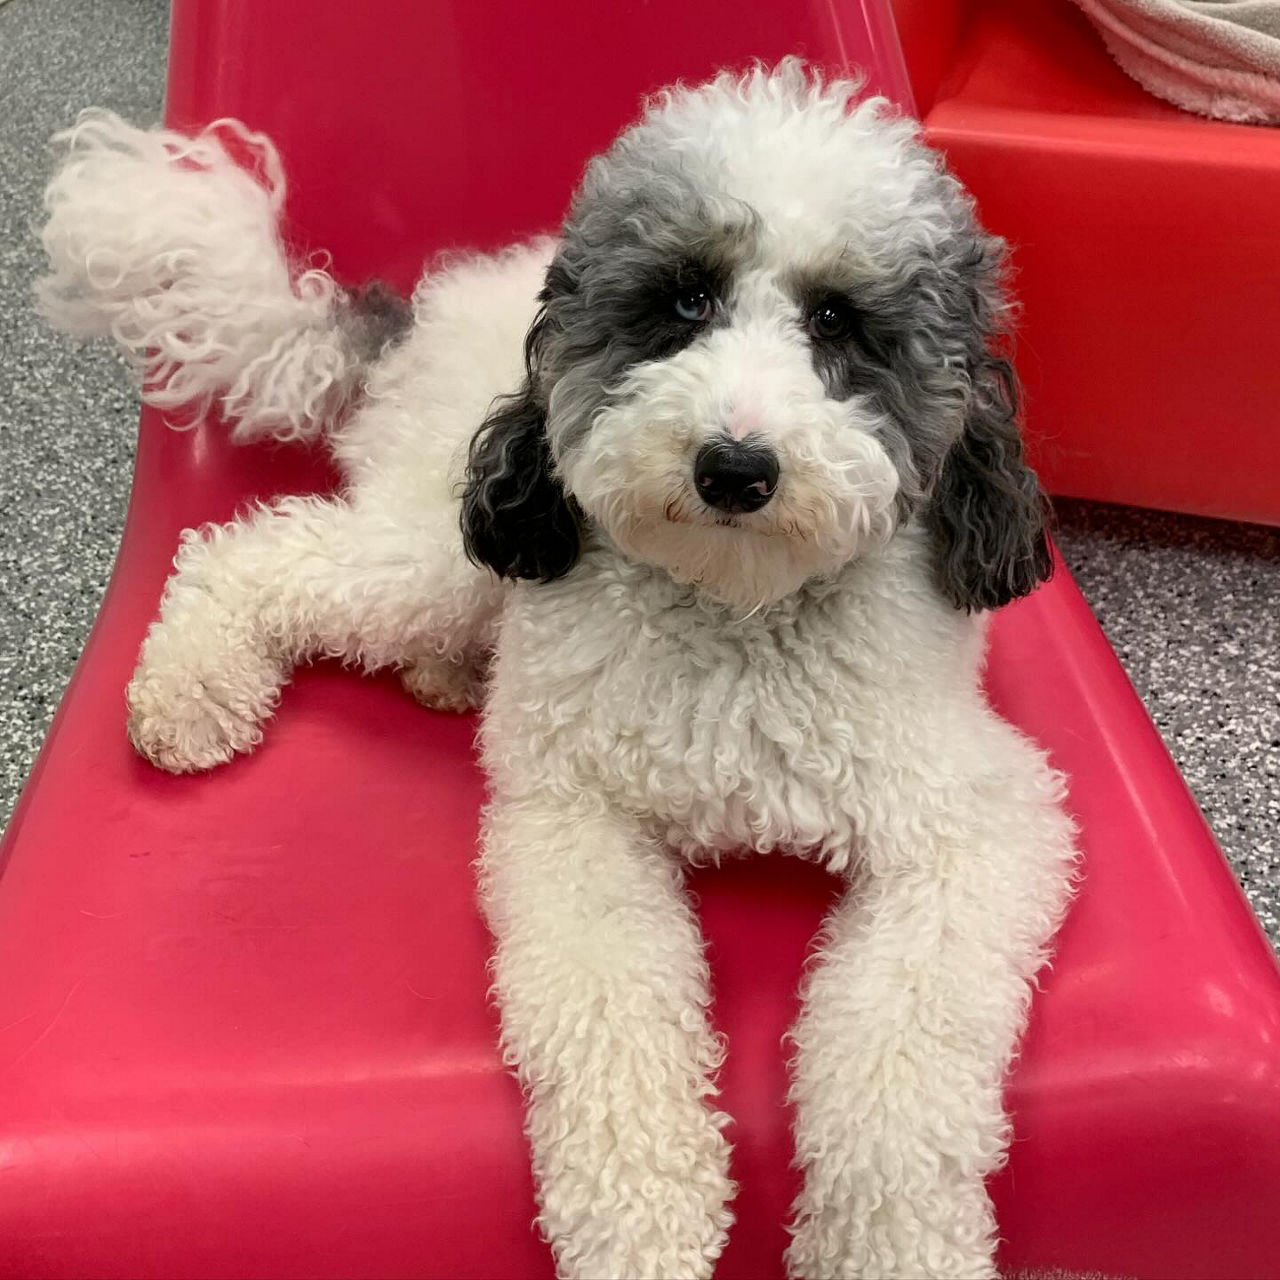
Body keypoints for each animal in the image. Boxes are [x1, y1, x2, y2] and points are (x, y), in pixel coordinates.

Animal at [40, 62, 1075, 1280]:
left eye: (838, 321)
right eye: (684, 301)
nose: (733, 466)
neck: (734, 617)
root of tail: (420, 316)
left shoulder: (977, 822)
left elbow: (902, 1059)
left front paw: (890, 1241)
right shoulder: (574, 818)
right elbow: (610, 1017)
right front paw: (642, 1225)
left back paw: (440, 676)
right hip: (441, 540)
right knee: (248, 554)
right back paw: (192, 689)